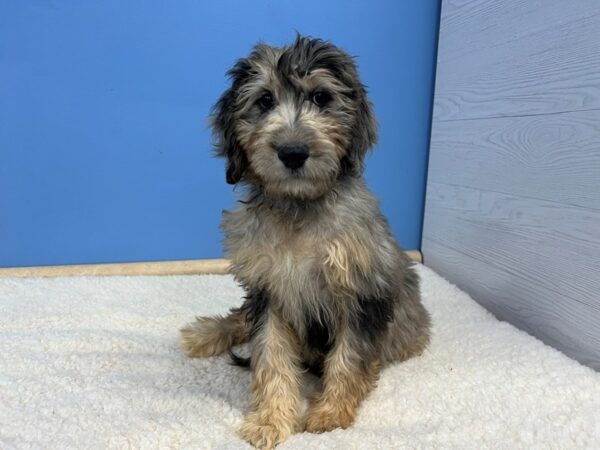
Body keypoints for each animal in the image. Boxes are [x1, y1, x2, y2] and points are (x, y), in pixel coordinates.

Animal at [180, 33, 428, 448]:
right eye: (264, 100)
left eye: (321, 98)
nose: (293, 152)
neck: (299, 207)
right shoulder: (268, 289)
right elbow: (271, 356)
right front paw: (270, 420)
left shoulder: (362, 291)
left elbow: (349, 357)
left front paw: (330, 413)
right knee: (241, 318)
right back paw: (205, 333)